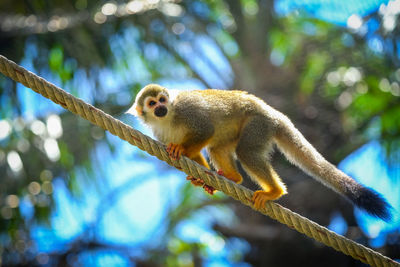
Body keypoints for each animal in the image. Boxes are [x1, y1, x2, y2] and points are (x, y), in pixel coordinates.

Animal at [130, 84, 392, 222]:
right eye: (152, 104)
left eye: (162, 100)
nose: (161, 107)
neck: (167, 119)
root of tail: (272, 111)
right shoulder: (159, 133)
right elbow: (194, 152)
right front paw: (200, 177)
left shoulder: (186, 110)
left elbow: (205, 130)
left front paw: (181, 149)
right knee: (218, 147)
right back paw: (232, 178)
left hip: (258, 123)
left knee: (245, 150)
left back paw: (274, 191)